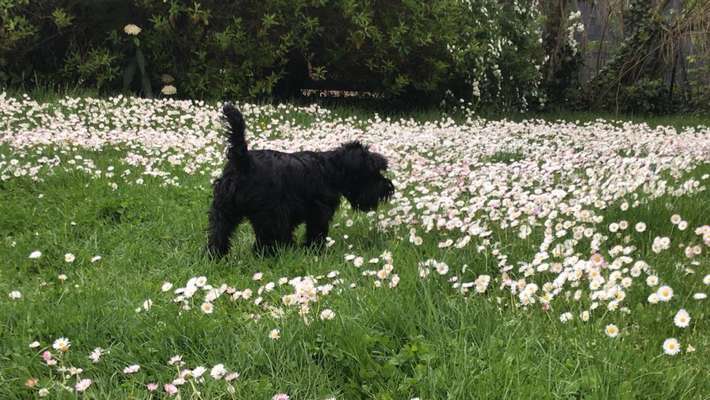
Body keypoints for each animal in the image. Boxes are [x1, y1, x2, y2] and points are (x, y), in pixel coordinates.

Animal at [207, 104, 394, 258]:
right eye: (373, 173)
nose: (389, 188)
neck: (332, 169)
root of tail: (244, 162)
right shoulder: (318, 212)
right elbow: (316, 232)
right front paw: (314, 250)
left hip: (223, 211)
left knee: (218, 233)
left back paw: (216, 256)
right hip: (269, 215)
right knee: (267, 238)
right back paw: (271, 254)